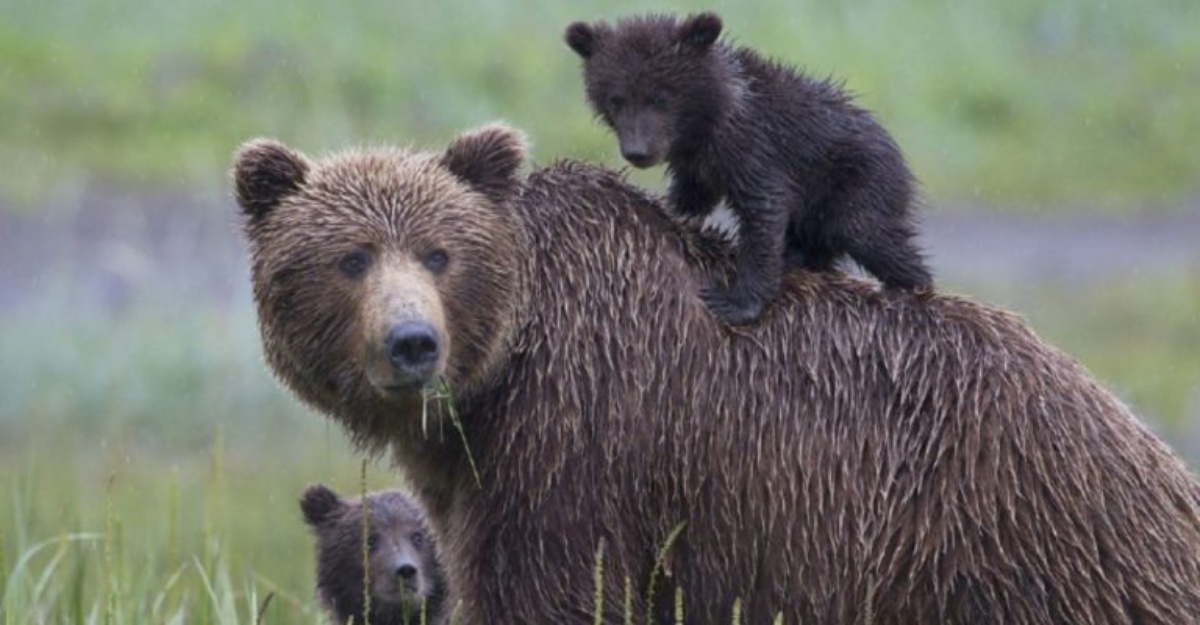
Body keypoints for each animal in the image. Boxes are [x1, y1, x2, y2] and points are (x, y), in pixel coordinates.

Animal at [564, 12, 933, 325]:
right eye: (617, 99)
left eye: (661, 96)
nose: (638, 152)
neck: (708, 123)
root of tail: (900, 156)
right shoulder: (695, 164)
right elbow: (692, 197)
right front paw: (668, 208)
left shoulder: (756, 149)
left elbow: (763, 213)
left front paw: (734, 302)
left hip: (857, 182)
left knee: (868, 232)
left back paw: (911, 287)